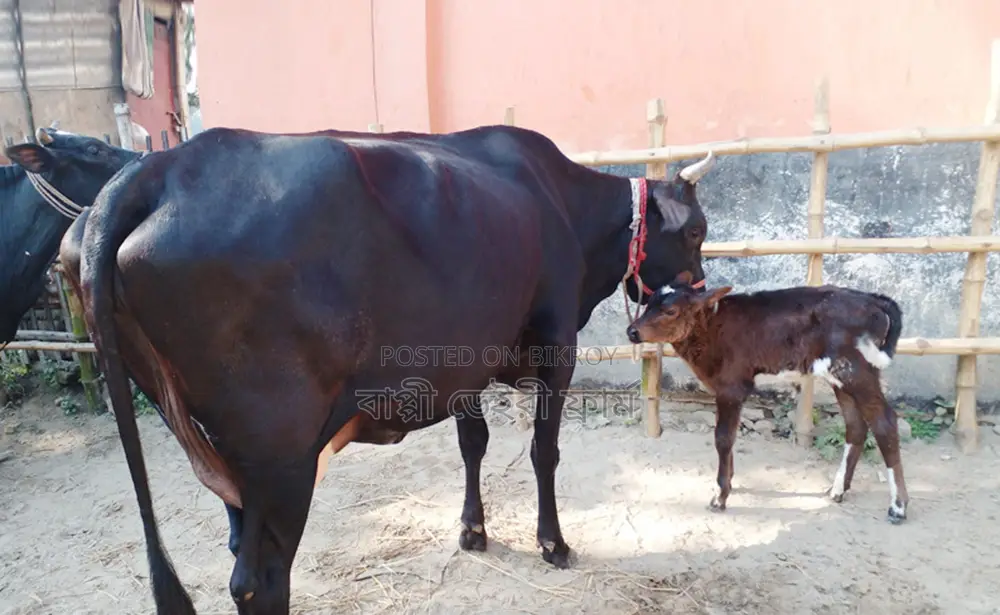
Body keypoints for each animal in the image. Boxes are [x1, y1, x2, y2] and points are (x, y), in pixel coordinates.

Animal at [55, 124, 716, 614]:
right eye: (695, 229)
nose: (701, 293)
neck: (561, 204)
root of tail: (159, 169)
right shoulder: (556, 347)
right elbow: (543, 451)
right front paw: (552, 541)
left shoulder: (461, 362)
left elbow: (473, 443)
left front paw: (473, 530)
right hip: (281, 455)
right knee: (259, 579)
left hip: (220, 453)